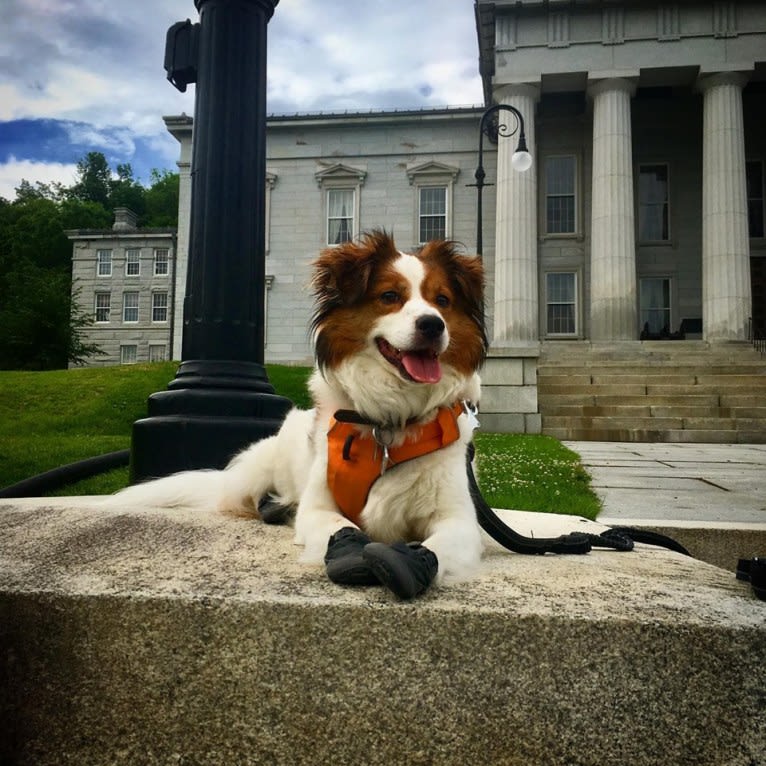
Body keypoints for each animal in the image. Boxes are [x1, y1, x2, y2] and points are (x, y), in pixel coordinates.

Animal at [114, 231, 486, 604]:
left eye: (442, 300)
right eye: (389, 296)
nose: (433, 325)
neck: (390, 420)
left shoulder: (459, 520)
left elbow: (437, 544)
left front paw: (407, 562)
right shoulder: (318, 506)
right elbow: (340, 526)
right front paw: (351, 554)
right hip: (256, 473)